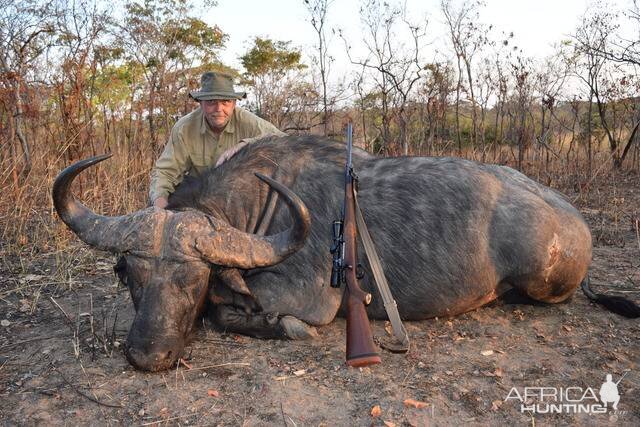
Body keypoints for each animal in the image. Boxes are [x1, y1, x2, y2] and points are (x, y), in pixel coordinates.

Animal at [53, 136, 600, 372]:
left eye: (193, 278)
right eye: (131, 275)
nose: (147, 356)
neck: (259, 203)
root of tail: (573, 220)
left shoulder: (307, 300)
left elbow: (231, 315)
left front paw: (280, 327)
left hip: (542, 280)